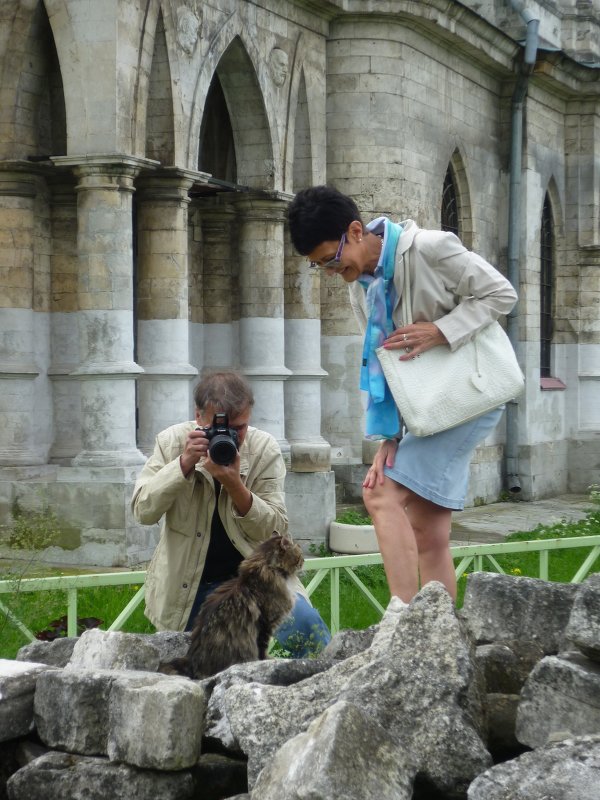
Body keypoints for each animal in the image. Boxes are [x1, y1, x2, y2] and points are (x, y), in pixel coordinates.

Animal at [162, 536, 304, 680]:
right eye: (299, 554)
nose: (303, 561)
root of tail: (190, 661)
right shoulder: (265, 624)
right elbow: (262, 650)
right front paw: (265, 661)